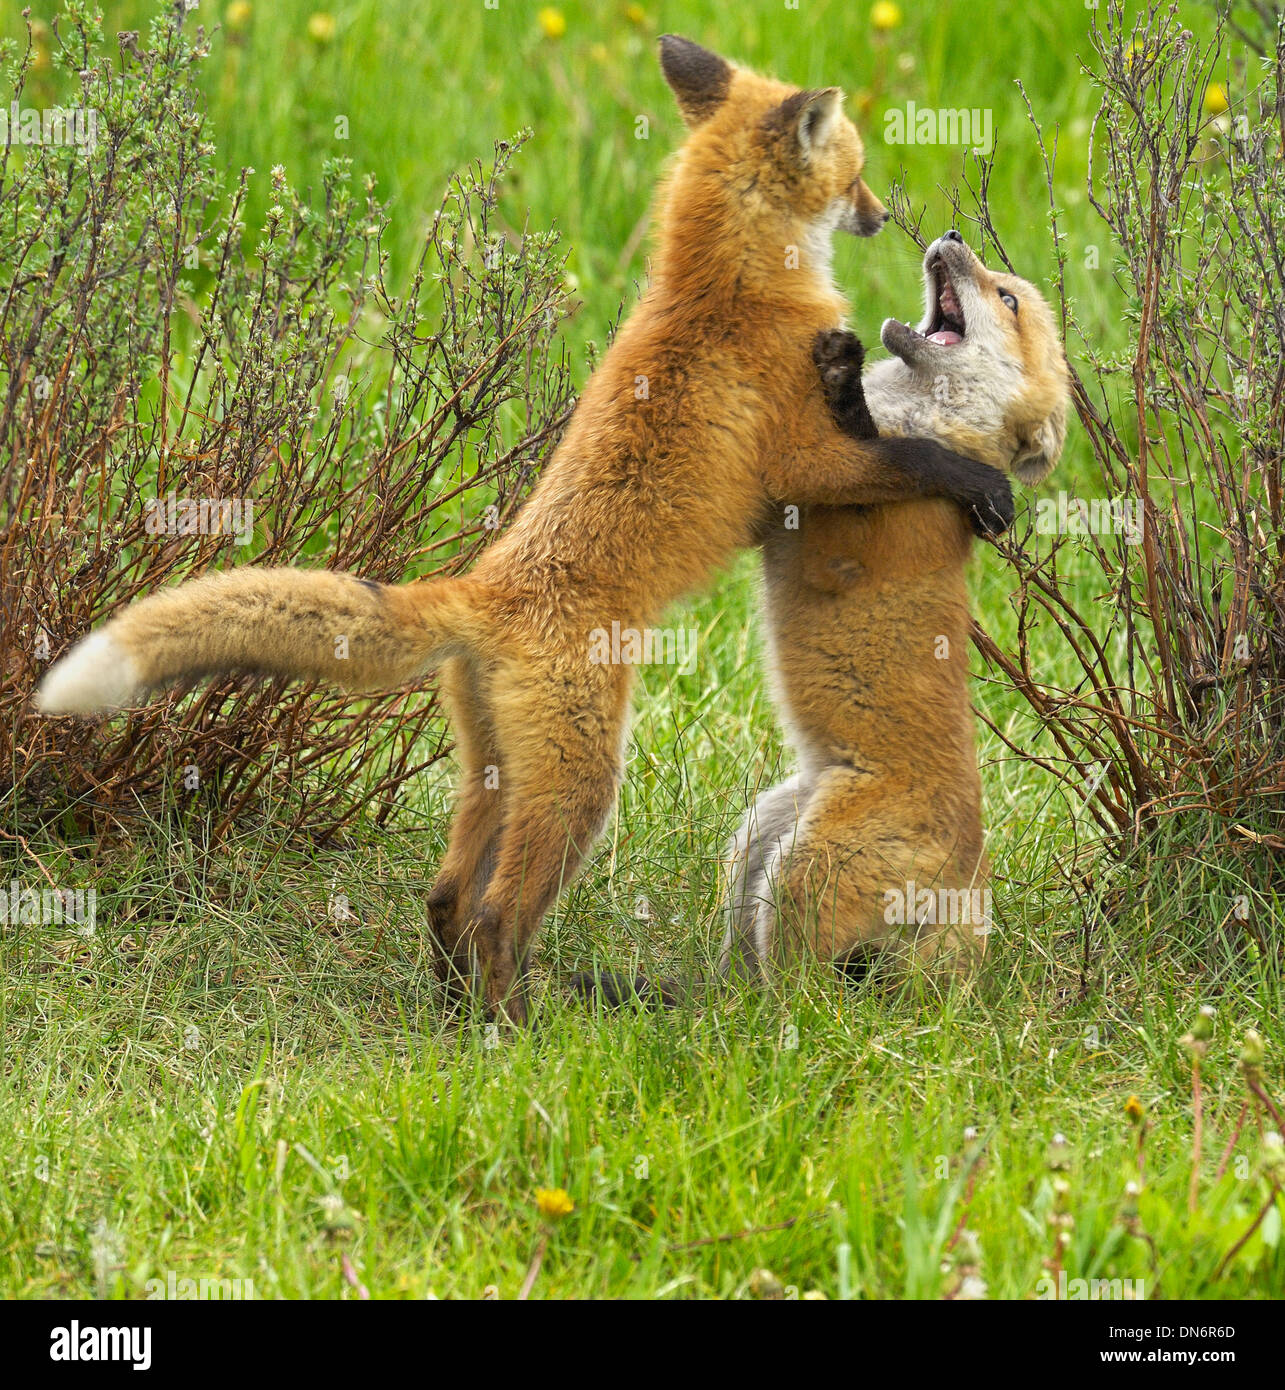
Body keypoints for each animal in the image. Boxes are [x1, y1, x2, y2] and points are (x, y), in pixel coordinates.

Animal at [35, 40, 1012, 1023]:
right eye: (854, 170)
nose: (882, 214)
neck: (726, 279)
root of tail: (481, 590)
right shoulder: (811, 462)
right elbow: (915, 461)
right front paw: (990, 489)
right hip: (582, 786)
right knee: (500, 912)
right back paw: (517, 1028)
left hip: (494, 774)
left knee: (444, 896)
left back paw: (459, 1012)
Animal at [723, 230, 1073, 978]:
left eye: (1006, 299)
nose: (953, 236)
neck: (928, 422)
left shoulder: (840, 543)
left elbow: (860, 451)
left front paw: (844, 385)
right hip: (761, 833)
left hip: (804, 869)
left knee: (804, 990)